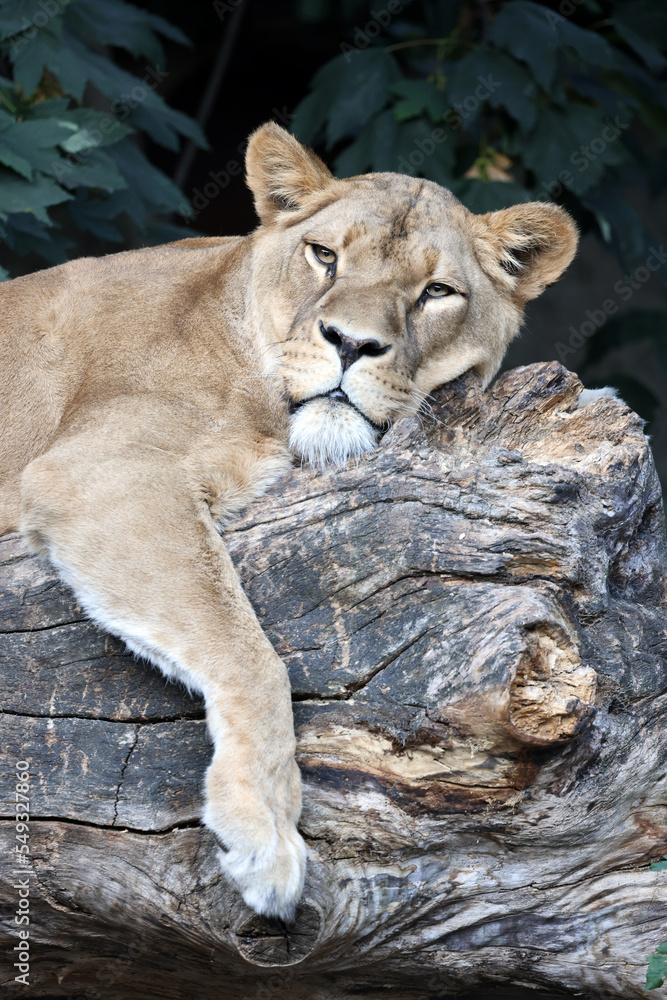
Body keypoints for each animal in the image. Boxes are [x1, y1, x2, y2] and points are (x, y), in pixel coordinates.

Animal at [0, 122, 578, 919]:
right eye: (325, 255)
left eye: (436, 292)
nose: (351, 343)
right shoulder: (102, 472)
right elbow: (248, 650)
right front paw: (264, 829)